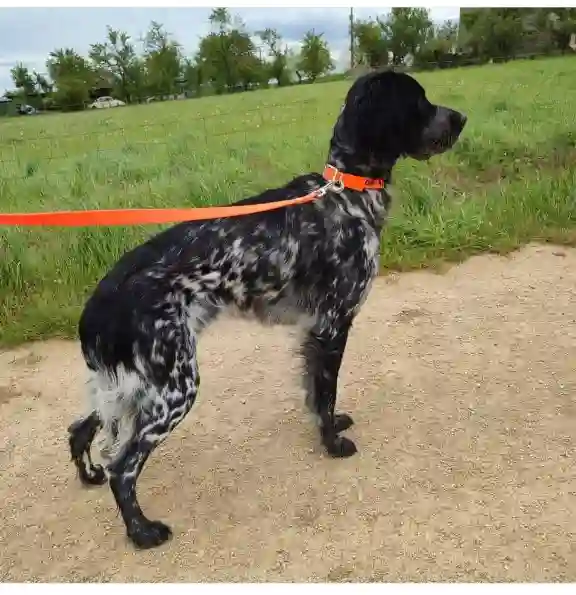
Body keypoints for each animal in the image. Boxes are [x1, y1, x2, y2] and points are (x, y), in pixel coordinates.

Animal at [67, 70, 466, 548]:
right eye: (419, 101)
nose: (461, 118)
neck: (346, 194)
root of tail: (100, 300)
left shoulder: (315, 330)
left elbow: (317, 395)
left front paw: (333, 428)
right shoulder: (333, 324)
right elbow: (326, 395)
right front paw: (333, 445)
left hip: (130, 383)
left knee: (81, 431)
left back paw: (90, 476)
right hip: (173, 386)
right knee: (123, 467)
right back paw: (142, 531)